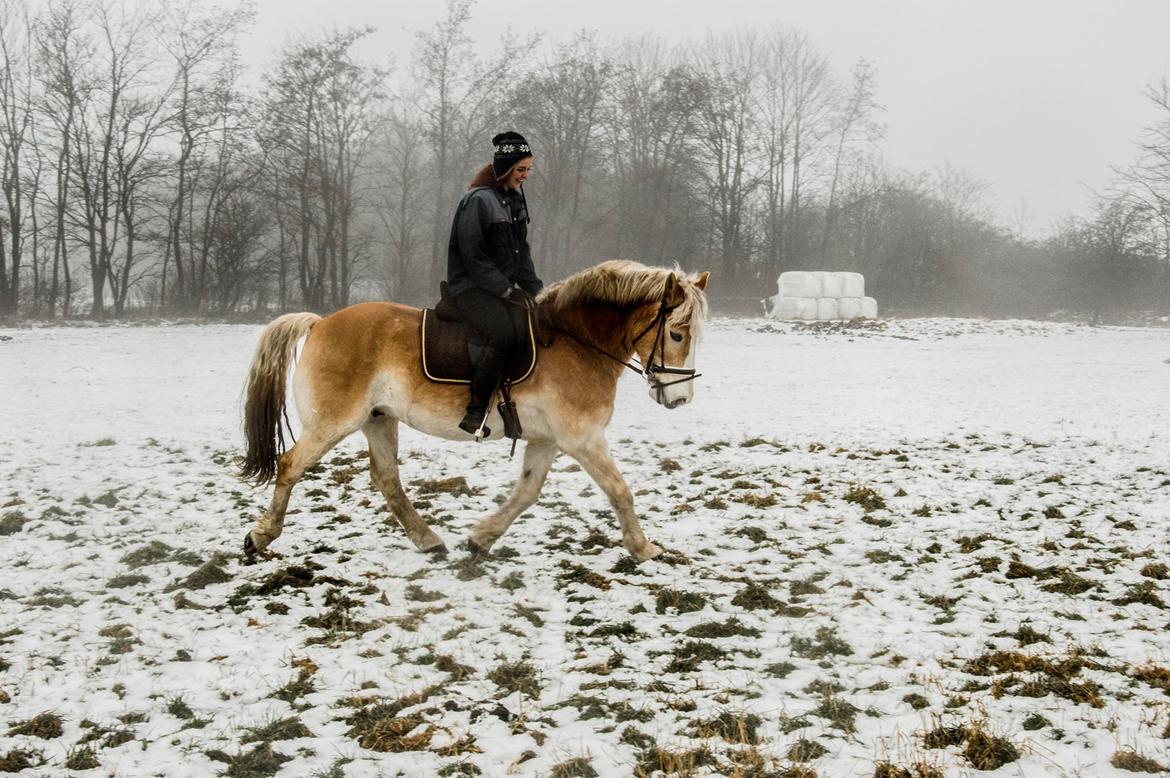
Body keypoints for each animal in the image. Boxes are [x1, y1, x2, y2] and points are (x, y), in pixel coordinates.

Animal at [239, 259, 702, 559]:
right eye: (677, 334)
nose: (680, 399)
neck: (577, 343)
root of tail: (320, 323)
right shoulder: (583, 438)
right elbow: (620, 492)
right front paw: (644, 549)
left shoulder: (548, 440)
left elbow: (527, 492)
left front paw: (481, 539)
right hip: (334, 422)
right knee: (290, 465)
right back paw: (260, 538)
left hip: (378, 420)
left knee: (387, 480)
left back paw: (429, 541)